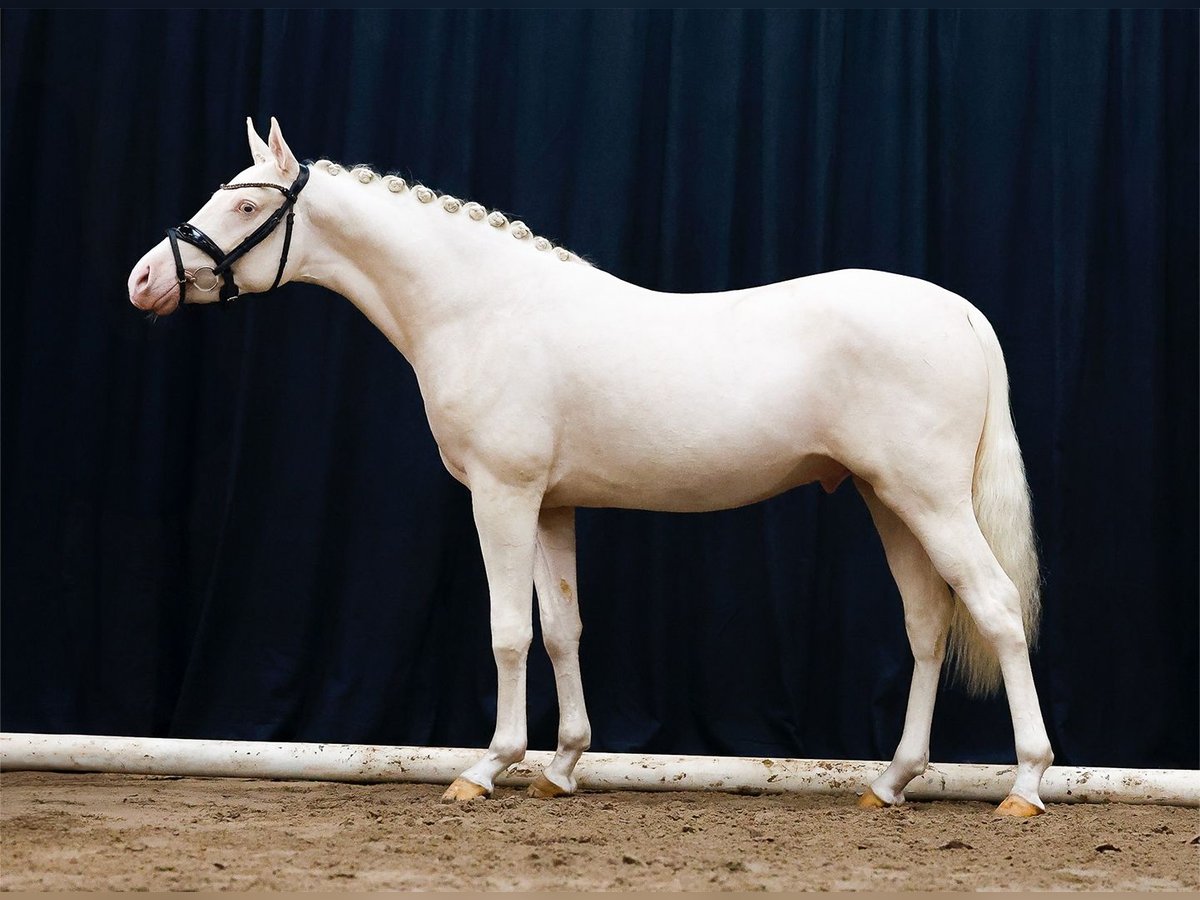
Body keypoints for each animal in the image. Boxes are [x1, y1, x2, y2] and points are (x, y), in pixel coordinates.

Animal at [126, 118, 1056, 816]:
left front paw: (485, 768)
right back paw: (891, 781)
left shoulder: (501, 497)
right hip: (887, 501)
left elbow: (508, 632)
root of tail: (957, 311)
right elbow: (563, 629)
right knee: (929, 624)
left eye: (248, 201)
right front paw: (563, 765)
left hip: (929, 500)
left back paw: (1025, 783)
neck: (486, 307)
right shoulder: (550, 506)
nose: (142, 281)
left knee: (995, 608)